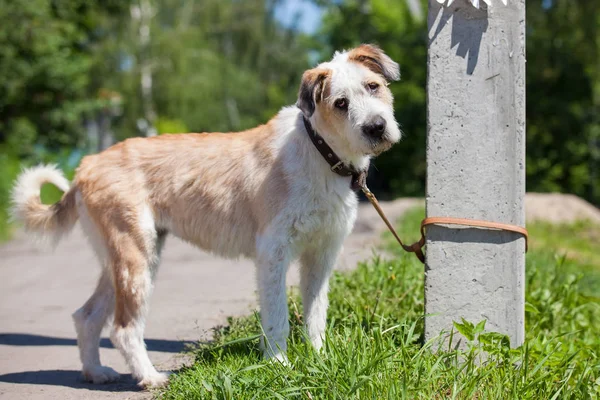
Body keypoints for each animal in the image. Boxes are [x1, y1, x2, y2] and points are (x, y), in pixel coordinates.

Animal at [9, 43, 400, 388]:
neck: (320, 152)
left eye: (373, 86)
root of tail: (87, 165)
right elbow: (277, 318)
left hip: (120, 261)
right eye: (340, 103)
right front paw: (279, 365)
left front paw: (320, 359)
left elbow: (316, 315)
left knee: (87, 317)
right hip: (136, 259)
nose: (376, 127)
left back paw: (95, 372)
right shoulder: (272, 254)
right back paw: (149, 378)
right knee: (123, 328)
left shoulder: (321, 255)